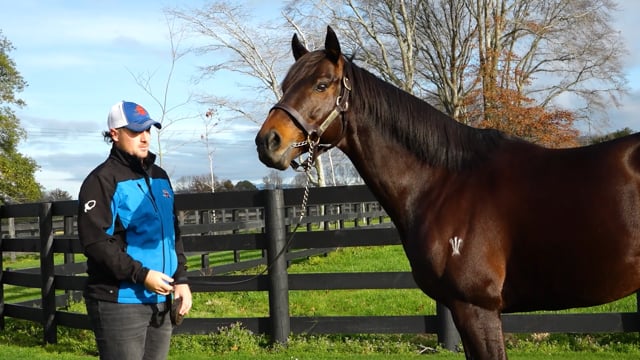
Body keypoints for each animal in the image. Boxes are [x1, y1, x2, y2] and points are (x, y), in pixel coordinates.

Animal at [252, 24, 640, 358]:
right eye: (286, 84)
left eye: (322, 85)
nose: (268, 142)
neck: (444, 184)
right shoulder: (462, 309)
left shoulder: (477, 308)